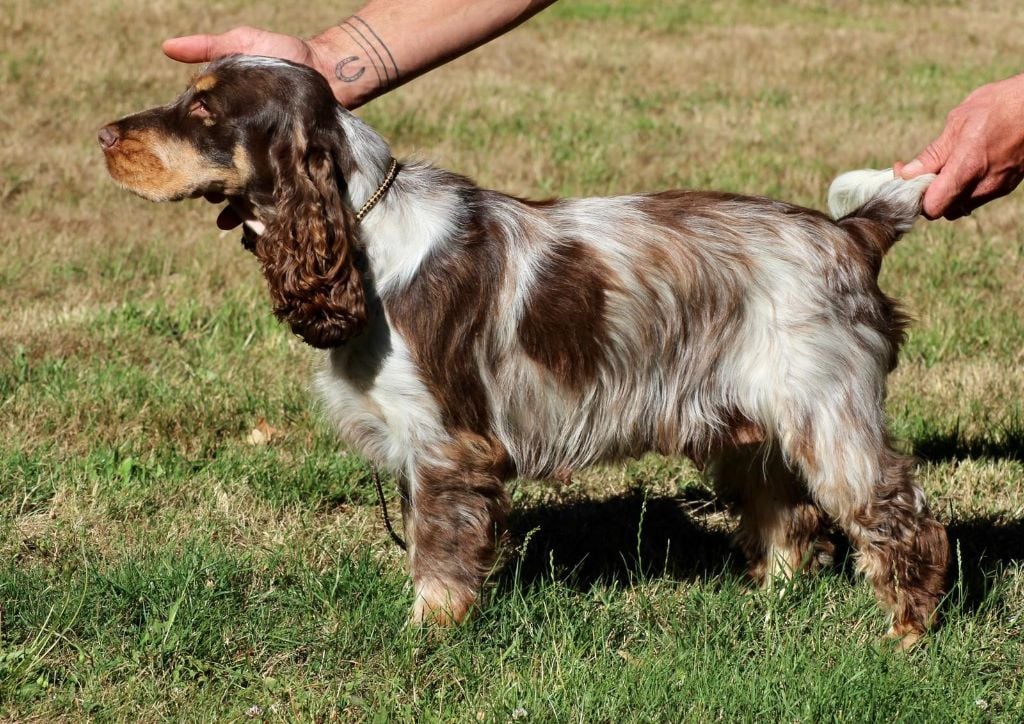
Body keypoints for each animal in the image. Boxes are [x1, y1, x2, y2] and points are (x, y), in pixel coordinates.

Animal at [99, 55, 946, 647]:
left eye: (203, 106)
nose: (104, 135)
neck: (360, 233)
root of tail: (852, 232)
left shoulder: (447, 445)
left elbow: (439, 554)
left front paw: (425, 635)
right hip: (746, 423)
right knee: (786, 515)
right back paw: (770, 601)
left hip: (829, 414)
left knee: (899, 516)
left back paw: (904, 635)